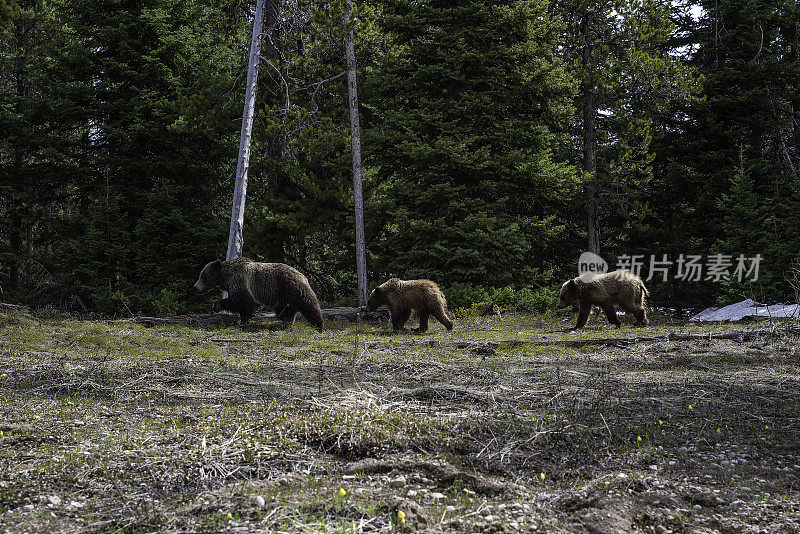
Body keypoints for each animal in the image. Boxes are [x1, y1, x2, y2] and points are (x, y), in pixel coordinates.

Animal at [195, 258, 324, 332]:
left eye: (202, 276)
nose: (195, 286)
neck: (227, 278)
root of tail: (302, 275)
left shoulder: (241, 283)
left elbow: (240, 303)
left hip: (290, 287)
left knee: (307, 304)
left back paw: (319, 325)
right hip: (282, 296)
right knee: (286, 310)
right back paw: (283, 323)